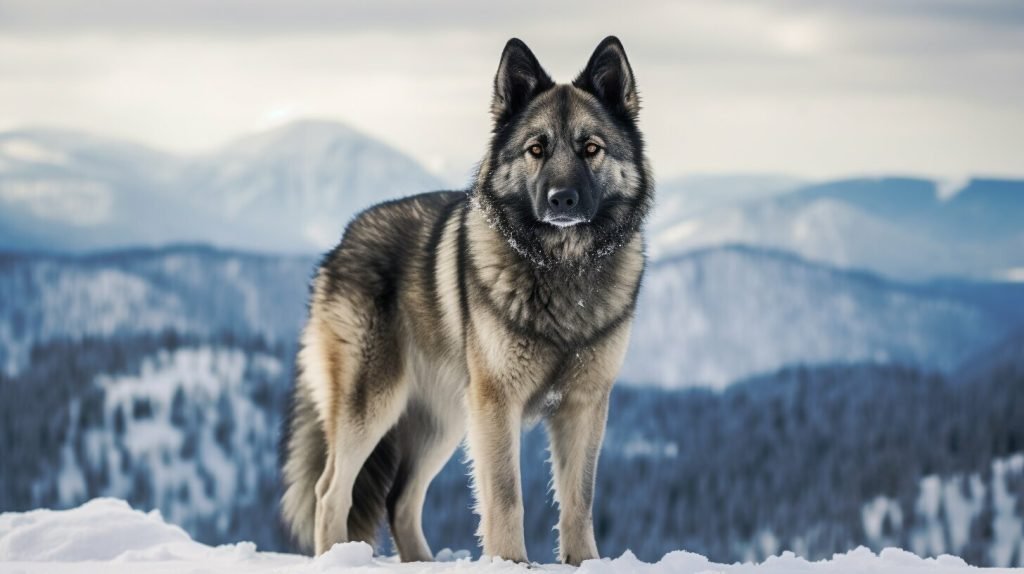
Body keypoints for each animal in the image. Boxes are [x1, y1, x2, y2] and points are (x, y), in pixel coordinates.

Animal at [280, 35, 651, 564]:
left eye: (591, 148)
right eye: (536, 149)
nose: (561, 200)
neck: (561, 269)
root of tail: (342, 241)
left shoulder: (585, 405)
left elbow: (579, 500)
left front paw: (584, 564)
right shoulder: (497, 403)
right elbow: (506, 496)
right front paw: (511, 564)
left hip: (445, 422)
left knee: (400, 499)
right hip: (374, 406)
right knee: (331, 491)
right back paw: (336, 558)